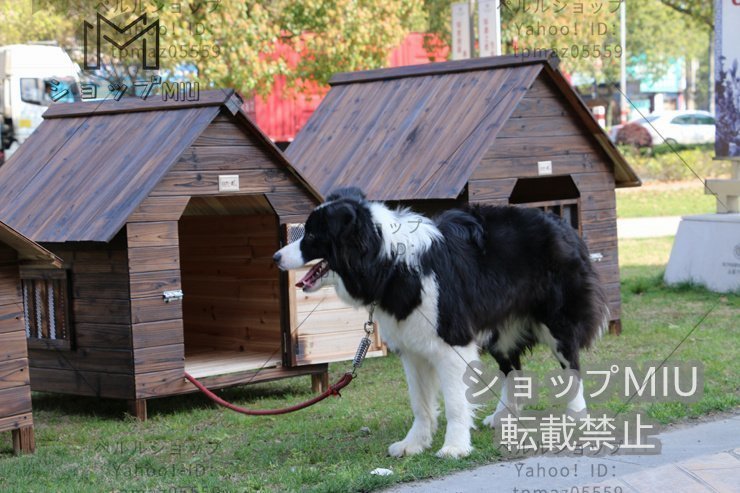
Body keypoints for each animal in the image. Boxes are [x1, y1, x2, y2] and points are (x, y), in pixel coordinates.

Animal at [274, 187, 608, 458]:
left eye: (312, 236)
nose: (275, 257)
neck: (389, 262)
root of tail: (562, 223)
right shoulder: (412, 348)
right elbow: (420, 402)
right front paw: (414, 444)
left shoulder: (452, 341)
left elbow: (456, 402)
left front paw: (455, 447)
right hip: (499, 331)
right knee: (513, 369)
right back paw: (504, 416)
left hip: (557, 320)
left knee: (571, 365)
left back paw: (577, 417)